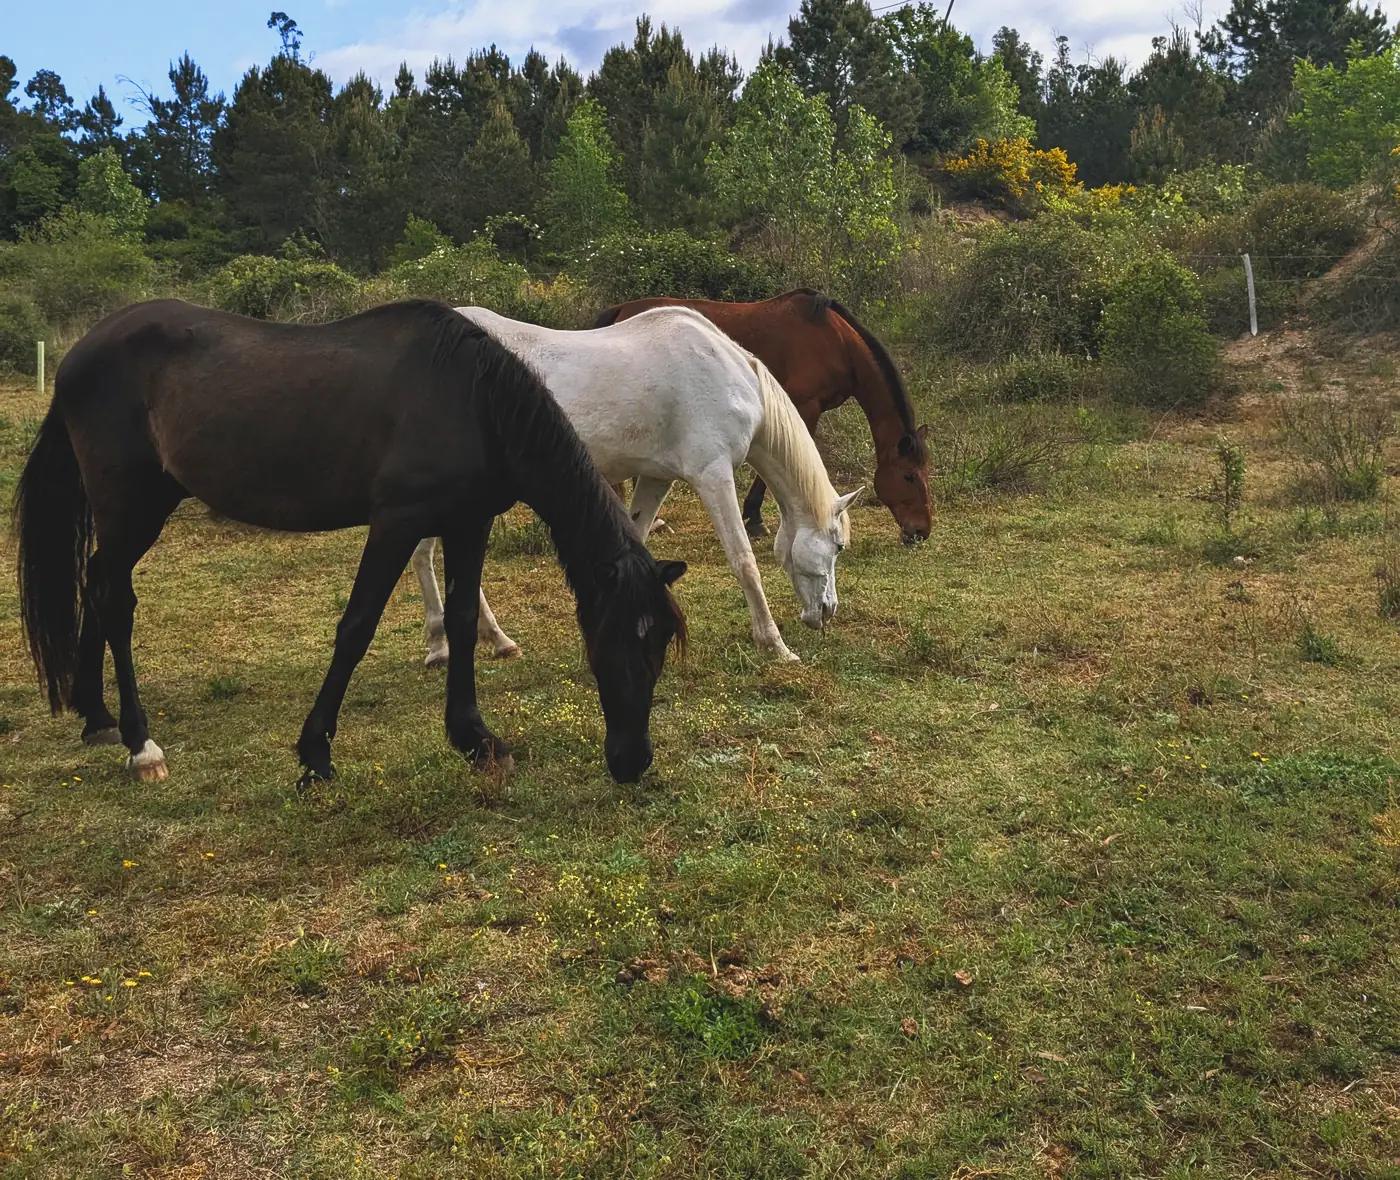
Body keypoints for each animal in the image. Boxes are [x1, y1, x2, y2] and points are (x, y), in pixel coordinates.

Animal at [14, 299, 686, 786]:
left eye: (659, 645)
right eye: (617, 641)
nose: (632, 762)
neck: (471, 399)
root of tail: (80, 353)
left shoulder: (469, 523)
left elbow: (464, 620)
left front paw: (474, 738)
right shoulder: (395, 522)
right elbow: (356, 627)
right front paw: (315, 755)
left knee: (95, 585)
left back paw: (96, 718)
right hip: (130, 508)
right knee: (113, 598)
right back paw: (140, 745)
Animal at [410, 304, 862, 667]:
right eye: (839, 546)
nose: (827, 611)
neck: (731, 377)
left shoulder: (657, 478)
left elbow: (638, 541)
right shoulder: (713, 475)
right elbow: (744, 561)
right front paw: (775, 645)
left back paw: (490, 640)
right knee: (425, 555)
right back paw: (443, 645)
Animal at [594, 289, 931, 545]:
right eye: (908, 476)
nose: (921, 531)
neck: (835, 341)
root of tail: (621, 310)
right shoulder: (804, 407)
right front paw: (755, 519)